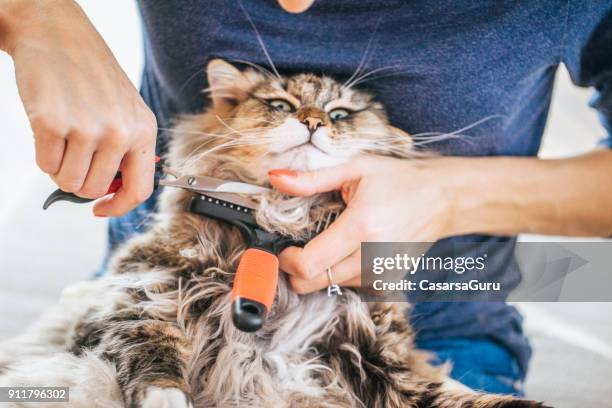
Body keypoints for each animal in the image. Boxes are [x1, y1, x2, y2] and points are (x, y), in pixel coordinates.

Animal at [0, 58, 548, 408]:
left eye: (340, 115)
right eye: (282, 106)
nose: (312, 122)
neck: (280, 218)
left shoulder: (385, 360)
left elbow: (467, 399)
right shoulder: (134, 303)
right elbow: (156, 370)